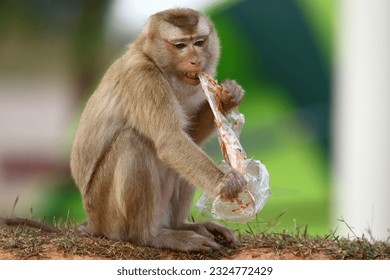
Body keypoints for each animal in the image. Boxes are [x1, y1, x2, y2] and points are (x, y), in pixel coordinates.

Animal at [69, 8, 245, 252]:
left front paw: (228, 97)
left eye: (199, 42)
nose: (196, 60)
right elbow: (170, 140)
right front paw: (227, 182)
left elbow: (189, 136)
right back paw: (148, 236)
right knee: (132, 141)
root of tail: (92, 223)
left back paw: (181, 226)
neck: (155, 61)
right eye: (180, 45)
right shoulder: (144, 78)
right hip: (105, 214)